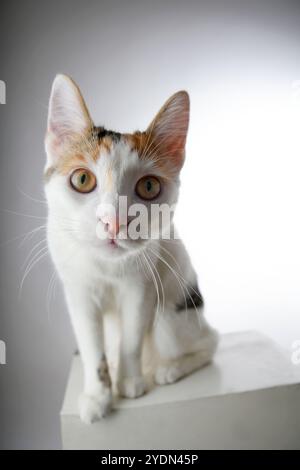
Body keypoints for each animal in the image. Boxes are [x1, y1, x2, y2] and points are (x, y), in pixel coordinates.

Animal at [44, 75, 218, 424]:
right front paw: (97, 395)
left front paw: (130, 383)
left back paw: (169, 369)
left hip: (172, 315)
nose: (114, 221)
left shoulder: (142, 288)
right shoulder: (78, 292)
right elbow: (90, 344)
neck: (106, 266)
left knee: (210, 342)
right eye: (82, 179)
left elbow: (132, 336)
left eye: (149, 186)